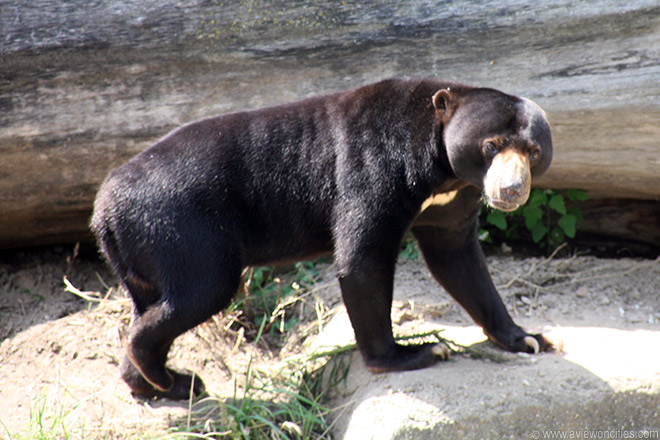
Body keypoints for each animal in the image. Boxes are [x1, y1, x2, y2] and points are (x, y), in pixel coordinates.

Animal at [91, 77, 555, 400]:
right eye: (491, 145)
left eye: (533, 152)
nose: (512, 190)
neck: (442, 172)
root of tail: (104, 207)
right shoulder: (375, 168)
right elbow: (363, 259)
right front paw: (413, 353)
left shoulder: (450, 204)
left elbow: (458, 260)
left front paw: (528, 338)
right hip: (182, 231)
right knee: (200, 292)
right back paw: (166, 374)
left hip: (144, 252)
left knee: (154, 304)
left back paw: (166, 384)